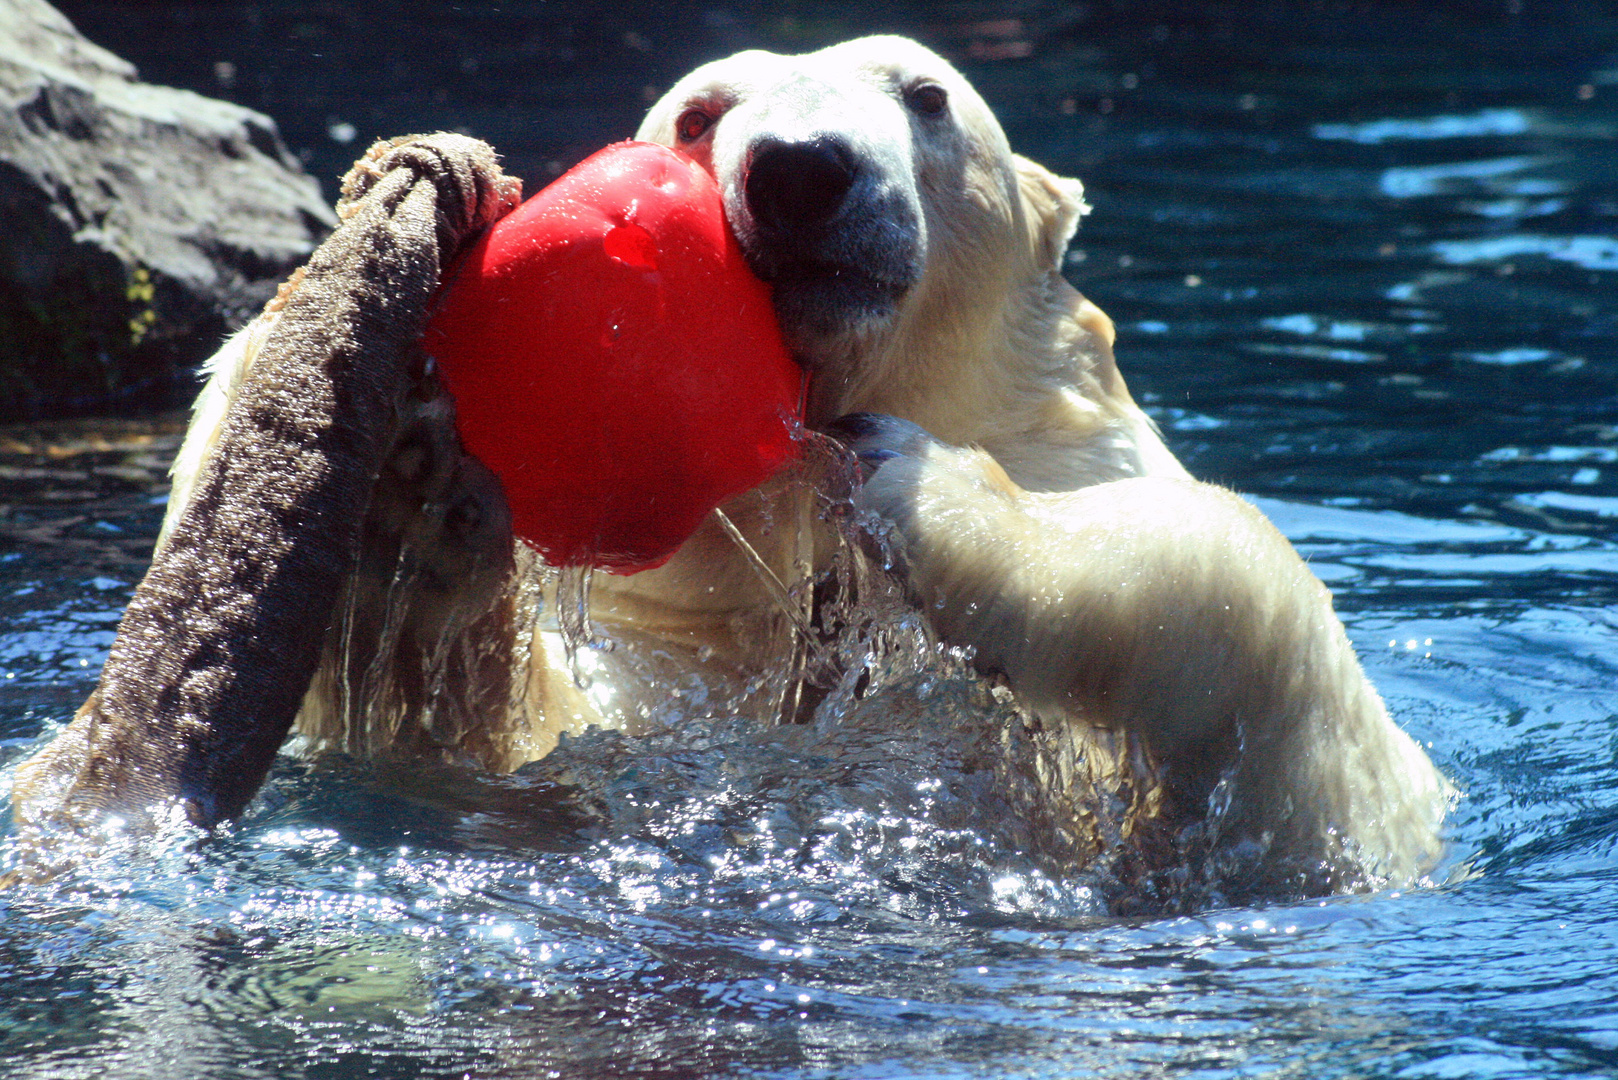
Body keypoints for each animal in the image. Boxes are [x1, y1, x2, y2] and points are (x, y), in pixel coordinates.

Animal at [9, 35, 1456, 893]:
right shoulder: (631, 698)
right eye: (702, 110)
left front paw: (922, 485)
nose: (803, 169)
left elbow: (1236, 595)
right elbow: (463, 741)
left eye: (926, 96)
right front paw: (411, 472)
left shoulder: (1325, 816)